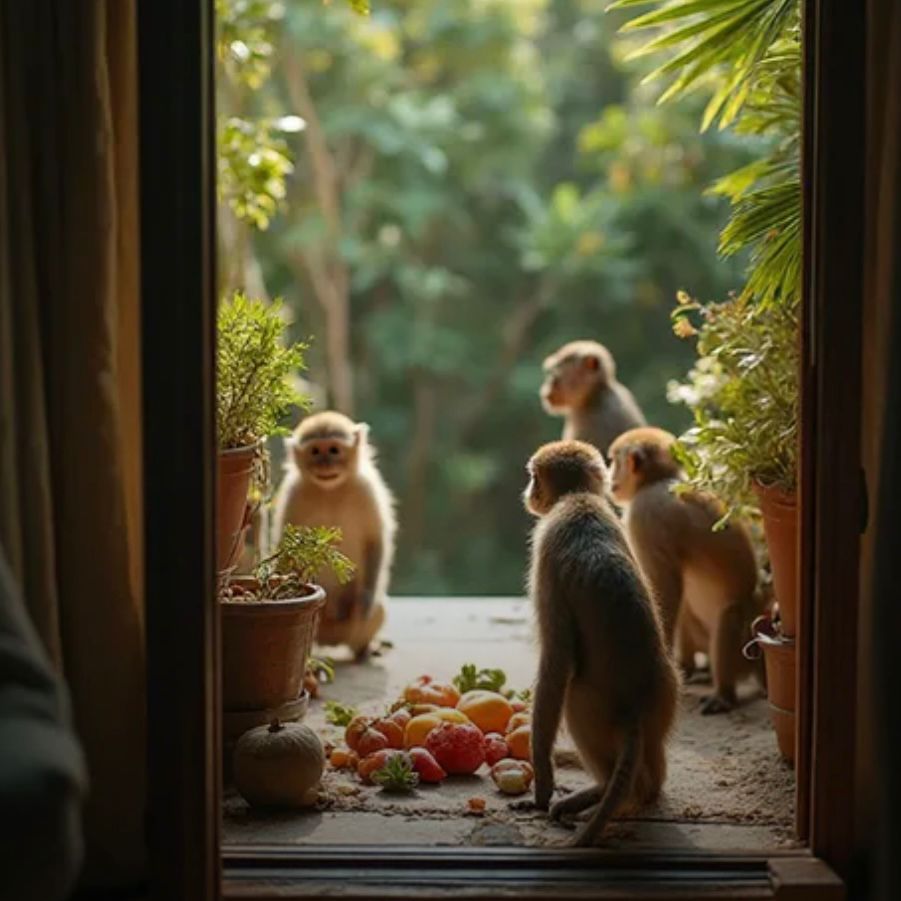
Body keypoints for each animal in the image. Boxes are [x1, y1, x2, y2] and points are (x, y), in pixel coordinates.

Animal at [271, 411, 397, 659]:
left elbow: (376, 541)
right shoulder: (293, 493)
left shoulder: (366, 489)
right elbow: (284, 546)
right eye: (315, 451)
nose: (324, 463)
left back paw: (364, 649)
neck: (330, 491)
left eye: (334, 450)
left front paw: (366, 597)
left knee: (375, 611)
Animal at [524, 440, 679, 847]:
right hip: (666, 698)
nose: (528, 492)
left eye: (534, 478)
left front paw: (542, 784)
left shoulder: (546, 547)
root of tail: (637, 701)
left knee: (572, 692)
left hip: (594, 705)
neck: (578, 499)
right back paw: (644, 791)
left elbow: (556, 657)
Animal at [608, 427, 762, 715]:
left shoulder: (646, 514)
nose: (610, 476)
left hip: (741, 638)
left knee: (728, 617)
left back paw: (724, 694)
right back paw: (691, 668)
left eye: (613, 461)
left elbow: (665, 585)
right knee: (687, 610)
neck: (658, 480)